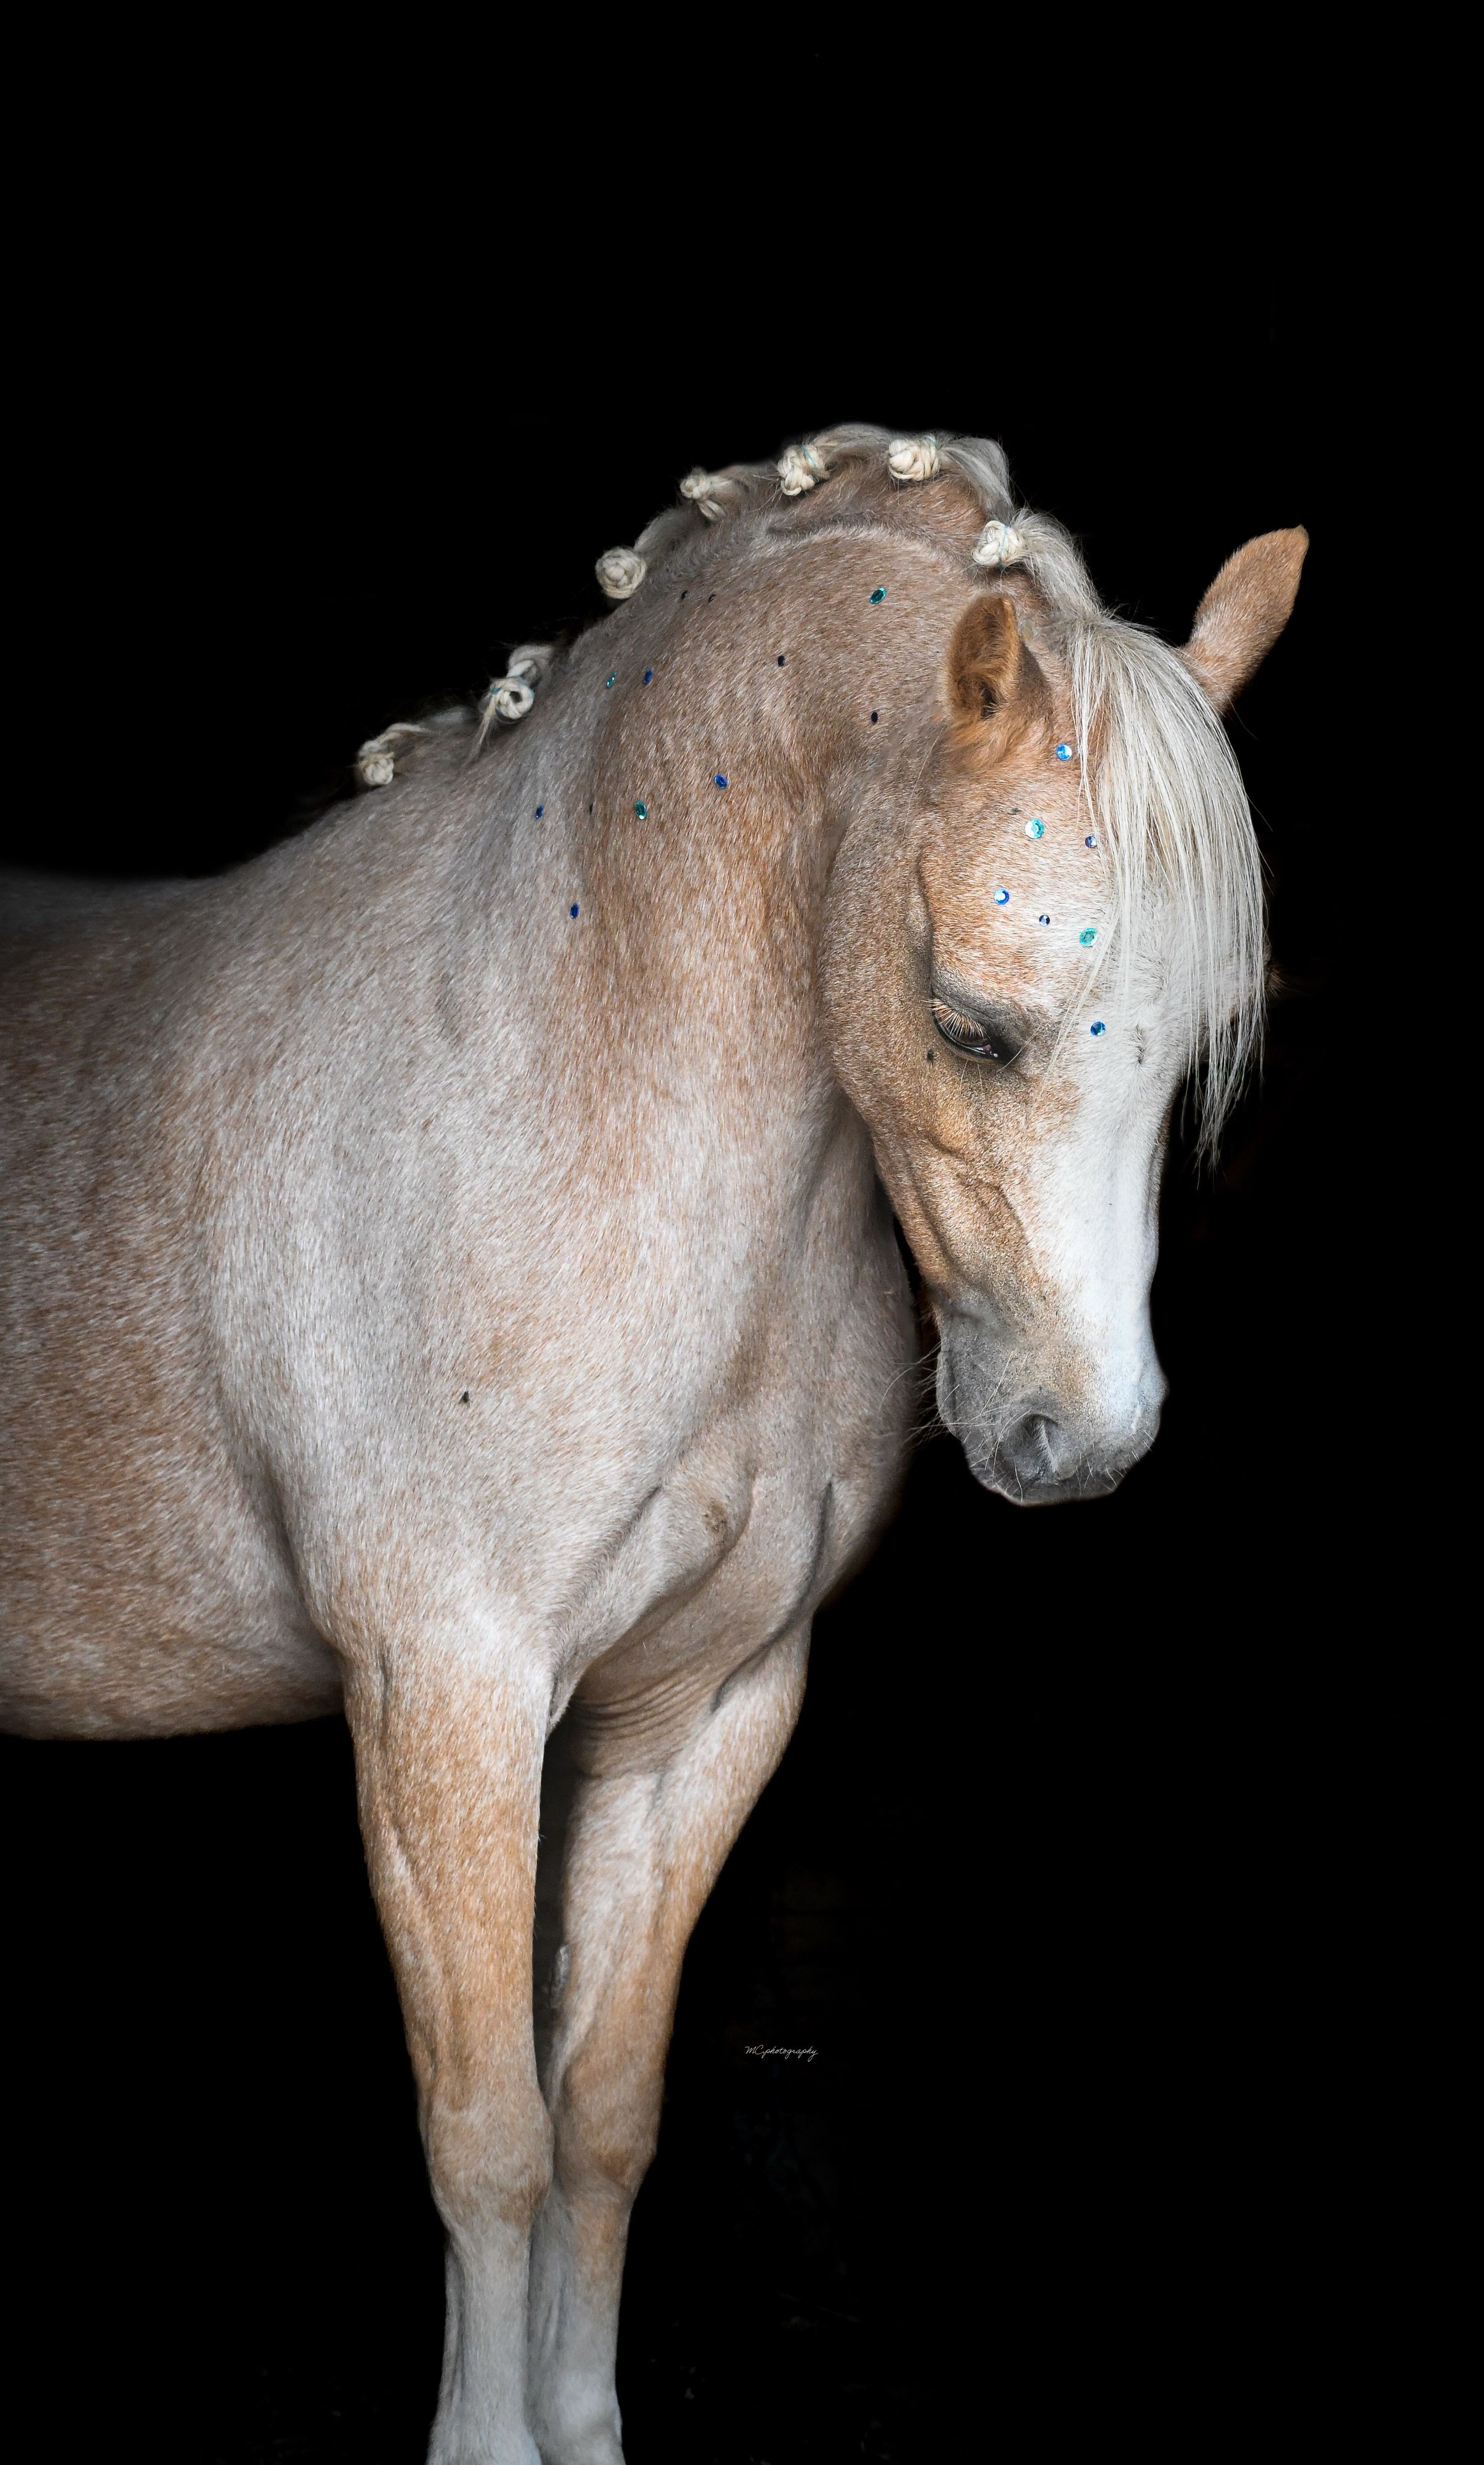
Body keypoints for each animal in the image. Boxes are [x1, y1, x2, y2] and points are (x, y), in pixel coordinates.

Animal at [0, 424, 1304, 2463]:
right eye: (970, 1026)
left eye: (1201, 1047)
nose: (1074, 1437)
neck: (563, 1094)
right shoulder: (444, 1704)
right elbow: (488, 2142)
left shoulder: (698, 1713)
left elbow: (602, 2127)